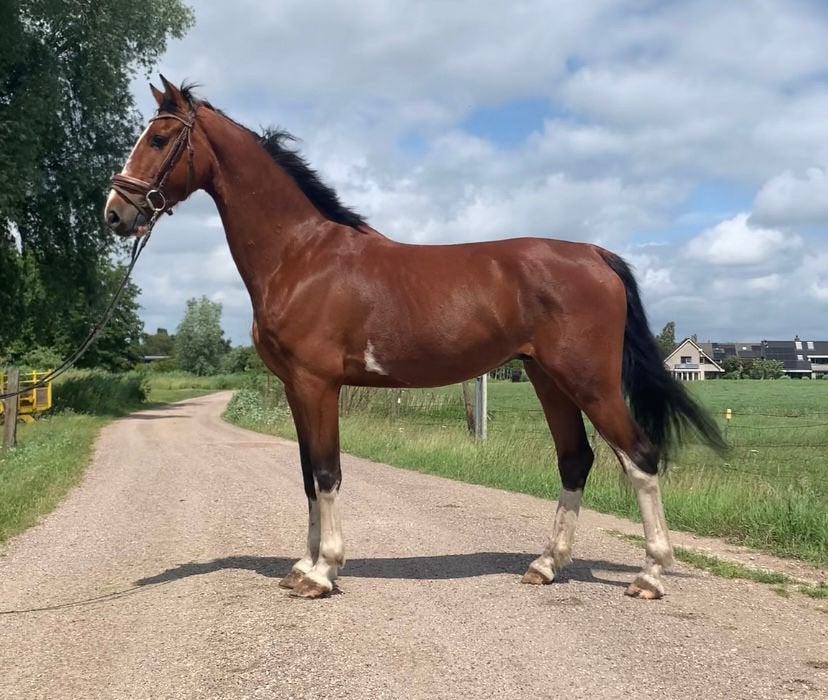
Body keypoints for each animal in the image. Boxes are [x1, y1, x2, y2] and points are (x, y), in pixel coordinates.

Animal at [105, 77, 726, 600]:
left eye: (159, 138)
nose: (115, 213)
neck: (301, 255)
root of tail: (595, 255)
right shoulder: (294, 388)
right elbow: (307, 475)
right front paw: (304, 566)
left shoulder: (316, 384)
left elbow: (326, 472)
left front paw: (324, 573)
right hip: (548, 378)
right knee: (576, 459)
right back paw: (546, 565)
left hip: (589, 380)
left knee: (640, 456)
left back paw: (650, 575)